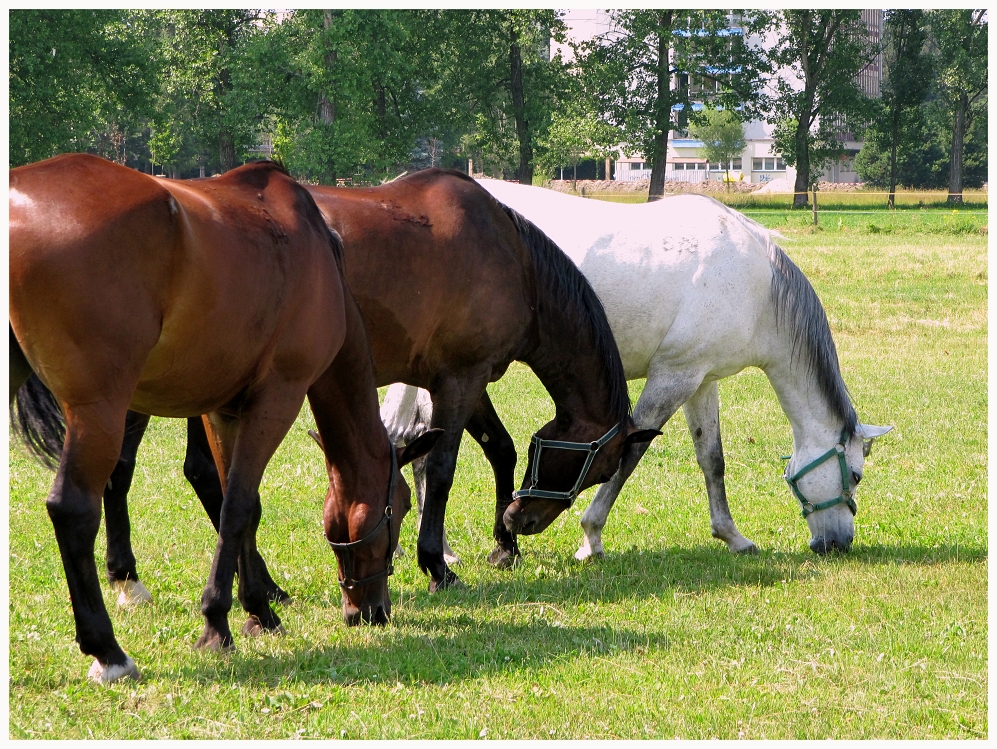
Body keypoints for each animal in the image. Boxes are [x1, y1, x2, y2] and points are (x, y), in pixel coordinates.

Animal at [7, 155, 436, 680]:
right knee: (73, 509)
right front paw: (218, 623)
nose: (372, 611)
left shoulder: (223, 411)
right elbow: (236, 505)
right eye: (402, 506)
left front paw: (258, 610)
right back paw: (108, 650)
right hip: (100, 409)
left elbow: (242, 507)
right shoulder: (277, 397)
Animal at [11, 168, 660, 596]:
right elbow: (444, 468)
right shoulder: (461, 377)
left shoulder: (459, 378)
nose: (522, 518)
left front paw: (502, 548)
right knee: (131, 472)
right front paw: (438, 564)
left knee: (179, 474)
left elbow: (496, 448)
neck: (510, 255)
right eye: (593, 469)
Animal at [384, 180, 896, 556]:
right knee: (419, 449)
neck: (756, 286)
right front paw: (590, 538)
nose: (837, 543)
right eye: (856, 475)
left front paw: (732, 536)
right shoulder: (670, 378)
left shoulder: (699, 380)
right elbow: (629, 457)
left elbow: (712, 460)